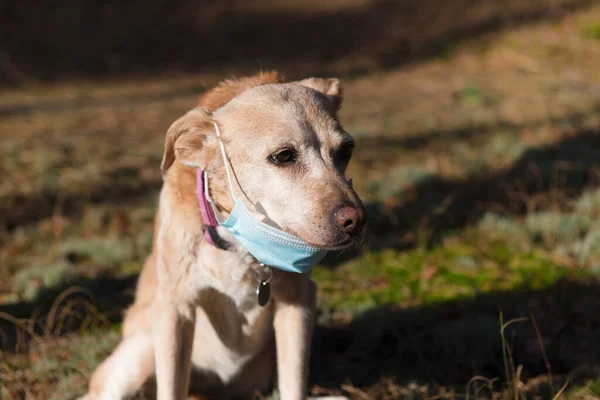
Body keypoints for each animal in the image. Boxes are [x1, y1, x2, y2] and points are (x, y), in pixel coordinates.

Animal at [81, 72, 366, 400]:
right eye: (283, 156)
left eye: (346, 151)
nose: (356, 221)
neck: (238, 244)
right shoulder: (174, 310)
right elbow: (171, 387)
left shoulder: (298, 301)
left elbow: (294, 382)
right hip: (140, 353)